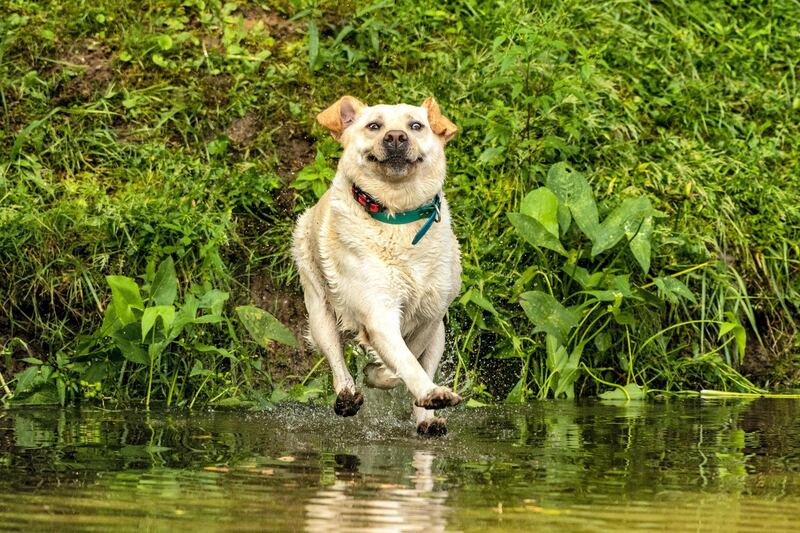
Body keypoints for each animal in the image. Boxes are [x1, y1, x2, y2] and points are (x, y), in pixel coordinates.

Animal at [292, 95, 462, 436]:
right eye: (374, 126)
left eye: (416, 125)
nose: (396, 137)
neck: (398, 216)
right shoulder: (378, 313)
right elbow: (403, 361)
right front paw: (387, 377)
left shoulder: (431, 317)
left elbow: (411, 359)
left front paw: (418, 393)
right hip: (319, 311)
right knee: (336, 359)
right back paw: (347, 396)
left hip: (439, 334)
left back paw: (427, 420)